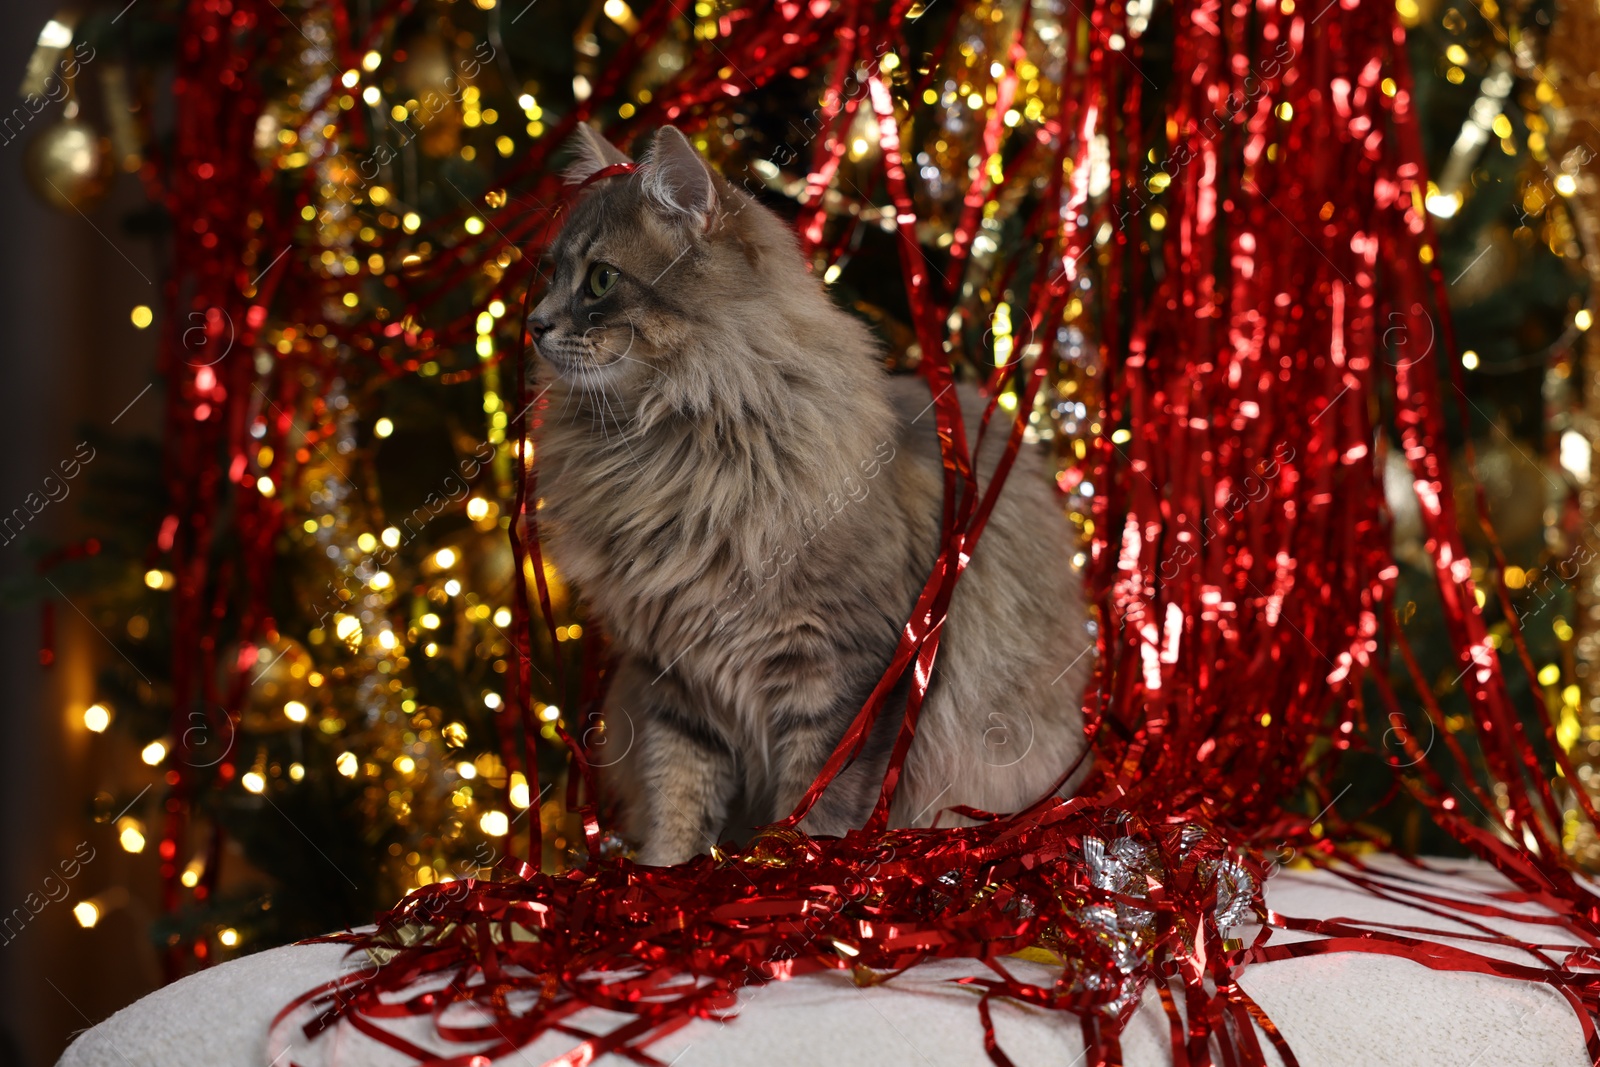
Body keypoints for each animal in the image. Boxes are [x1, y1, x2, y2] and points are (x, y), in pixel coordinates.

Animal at [531, 123, 1094, 870]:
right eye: (550, 274)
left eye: (599, 279)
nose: (534, 323)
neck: (665, 450)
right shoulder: (672, 674)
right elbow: (677, 792)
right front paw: (664, 872)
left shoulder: (843, 667)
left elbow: (817, 802)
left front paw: (792, 871)